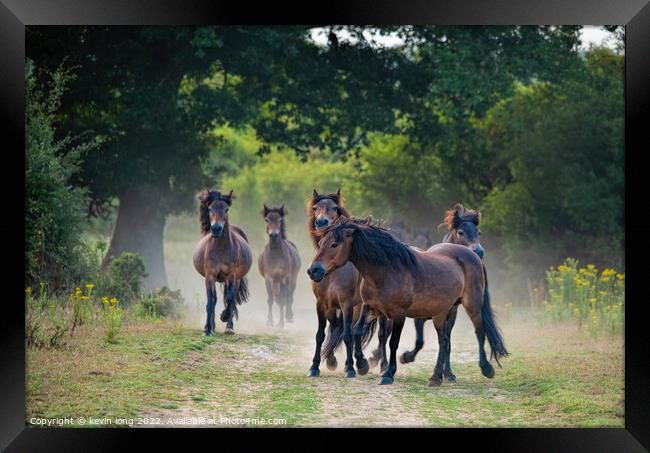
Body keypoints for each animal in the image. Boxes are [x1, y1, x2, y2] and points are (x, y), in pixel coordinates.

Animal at [192, 189, 251, 334]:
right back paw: (212, 326)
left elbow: (229, 299)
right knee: (215, 299)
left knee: (232, 299)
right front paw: (207, 329)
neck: (221, 249)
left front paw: (224, 317)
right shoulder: (210, 276)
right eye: (210, 209)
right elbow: (210, 301)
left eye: (226, 209)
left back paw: (229, 326)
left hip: (236, 279)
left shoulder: (231, 275)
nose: (216, 228)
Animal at [308, 218, 506, 384]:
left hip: (472, 305)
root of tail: (473, 256)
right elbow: (357, 331)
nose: (313, 270)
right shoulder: (371, 308)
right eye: (320, 243)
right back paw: (436, 377)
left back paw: (485, 368)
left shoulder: (398, 314)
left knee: (479, 332)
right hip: (441, 313)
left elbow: (393, 342)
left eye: (334, 244)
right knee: (444, 341)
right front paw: (362, 364)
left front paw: (388, 374)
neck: (386, 271)